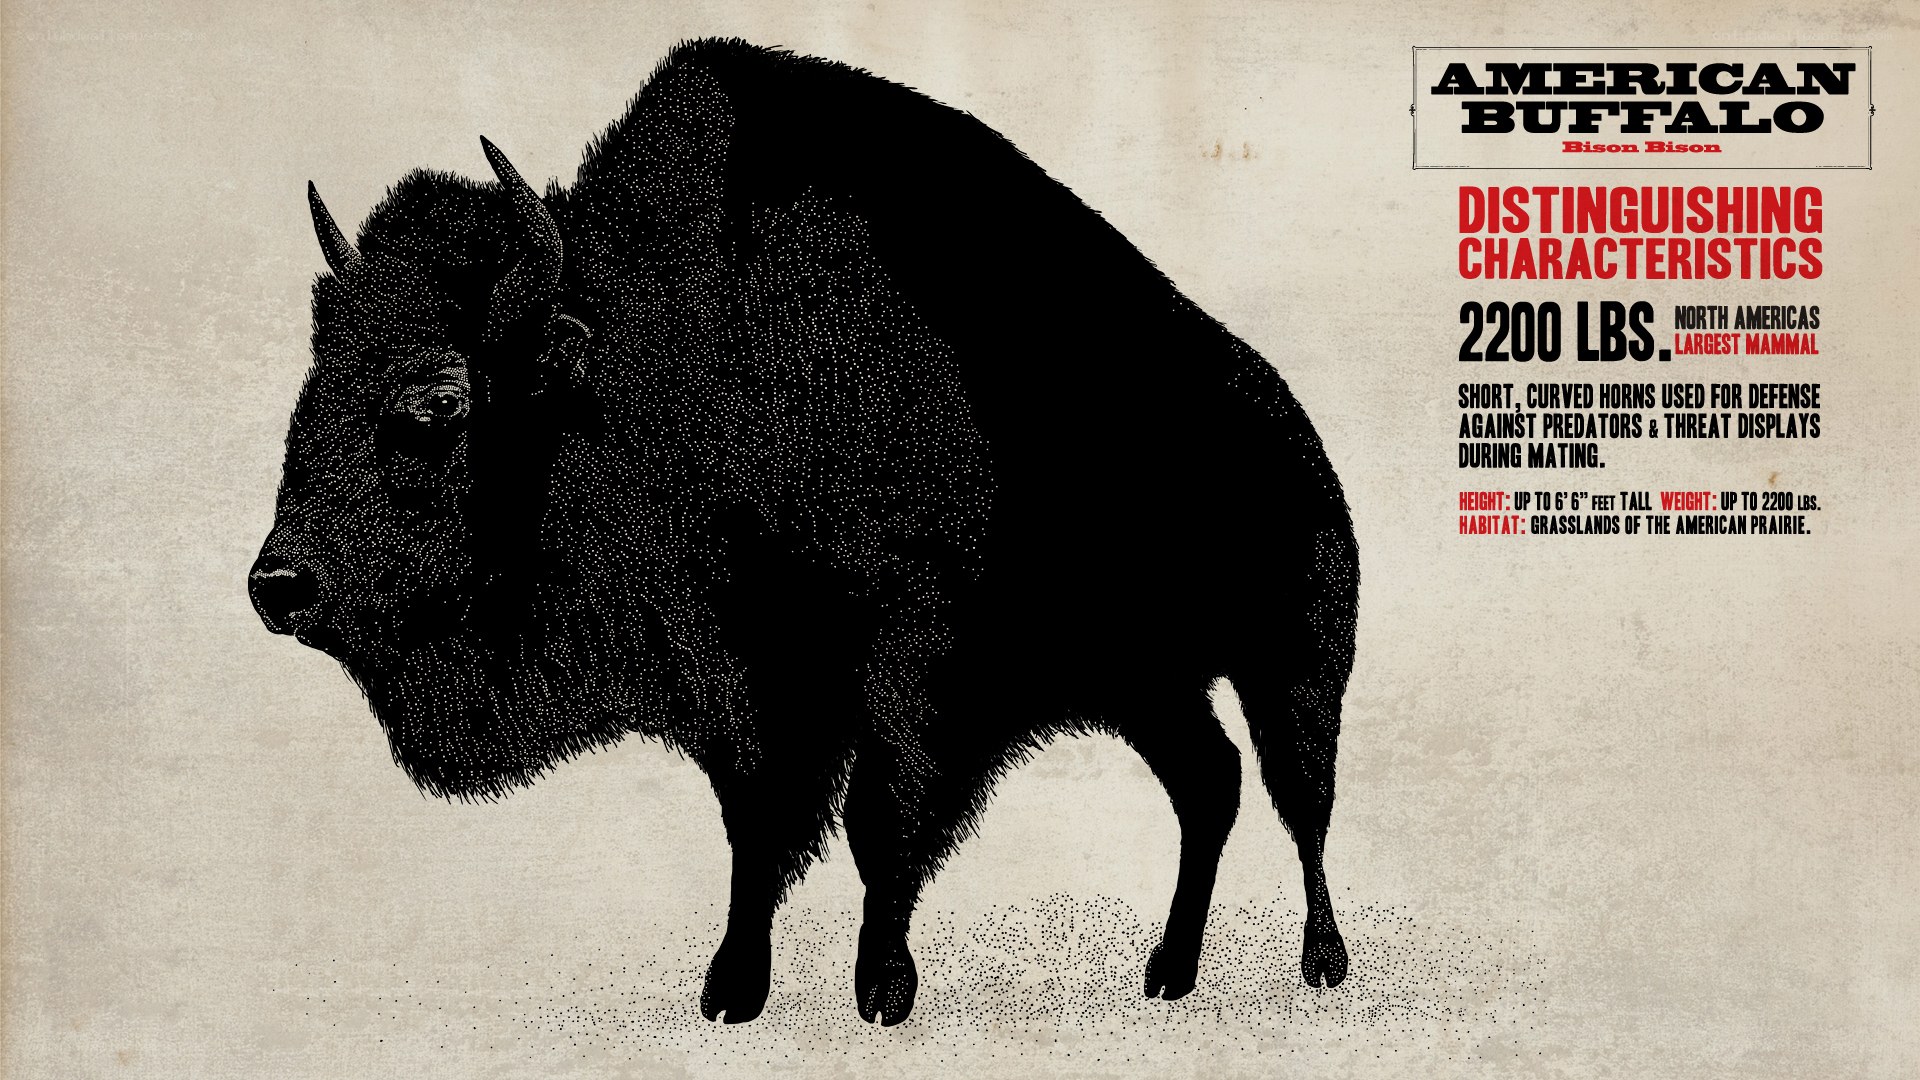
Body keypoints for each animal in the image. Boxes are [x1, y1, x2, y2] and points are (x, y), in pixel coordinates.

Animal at [250, 38, 1358, 1025]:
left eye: (437, 403)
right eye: (311, 385)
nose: (278, 585)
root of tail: (1300, 438)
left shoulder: (903, 667)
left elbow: (880, 822)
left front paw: (882, 992)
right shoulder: (748, 688)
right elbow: (761, 832)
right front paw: (731, 992)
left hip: (1291, 662)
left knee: (1299, 798)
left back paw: (1322, 965)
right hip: (1145, 683)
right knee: (1210, 784)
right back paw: (1169, 973)